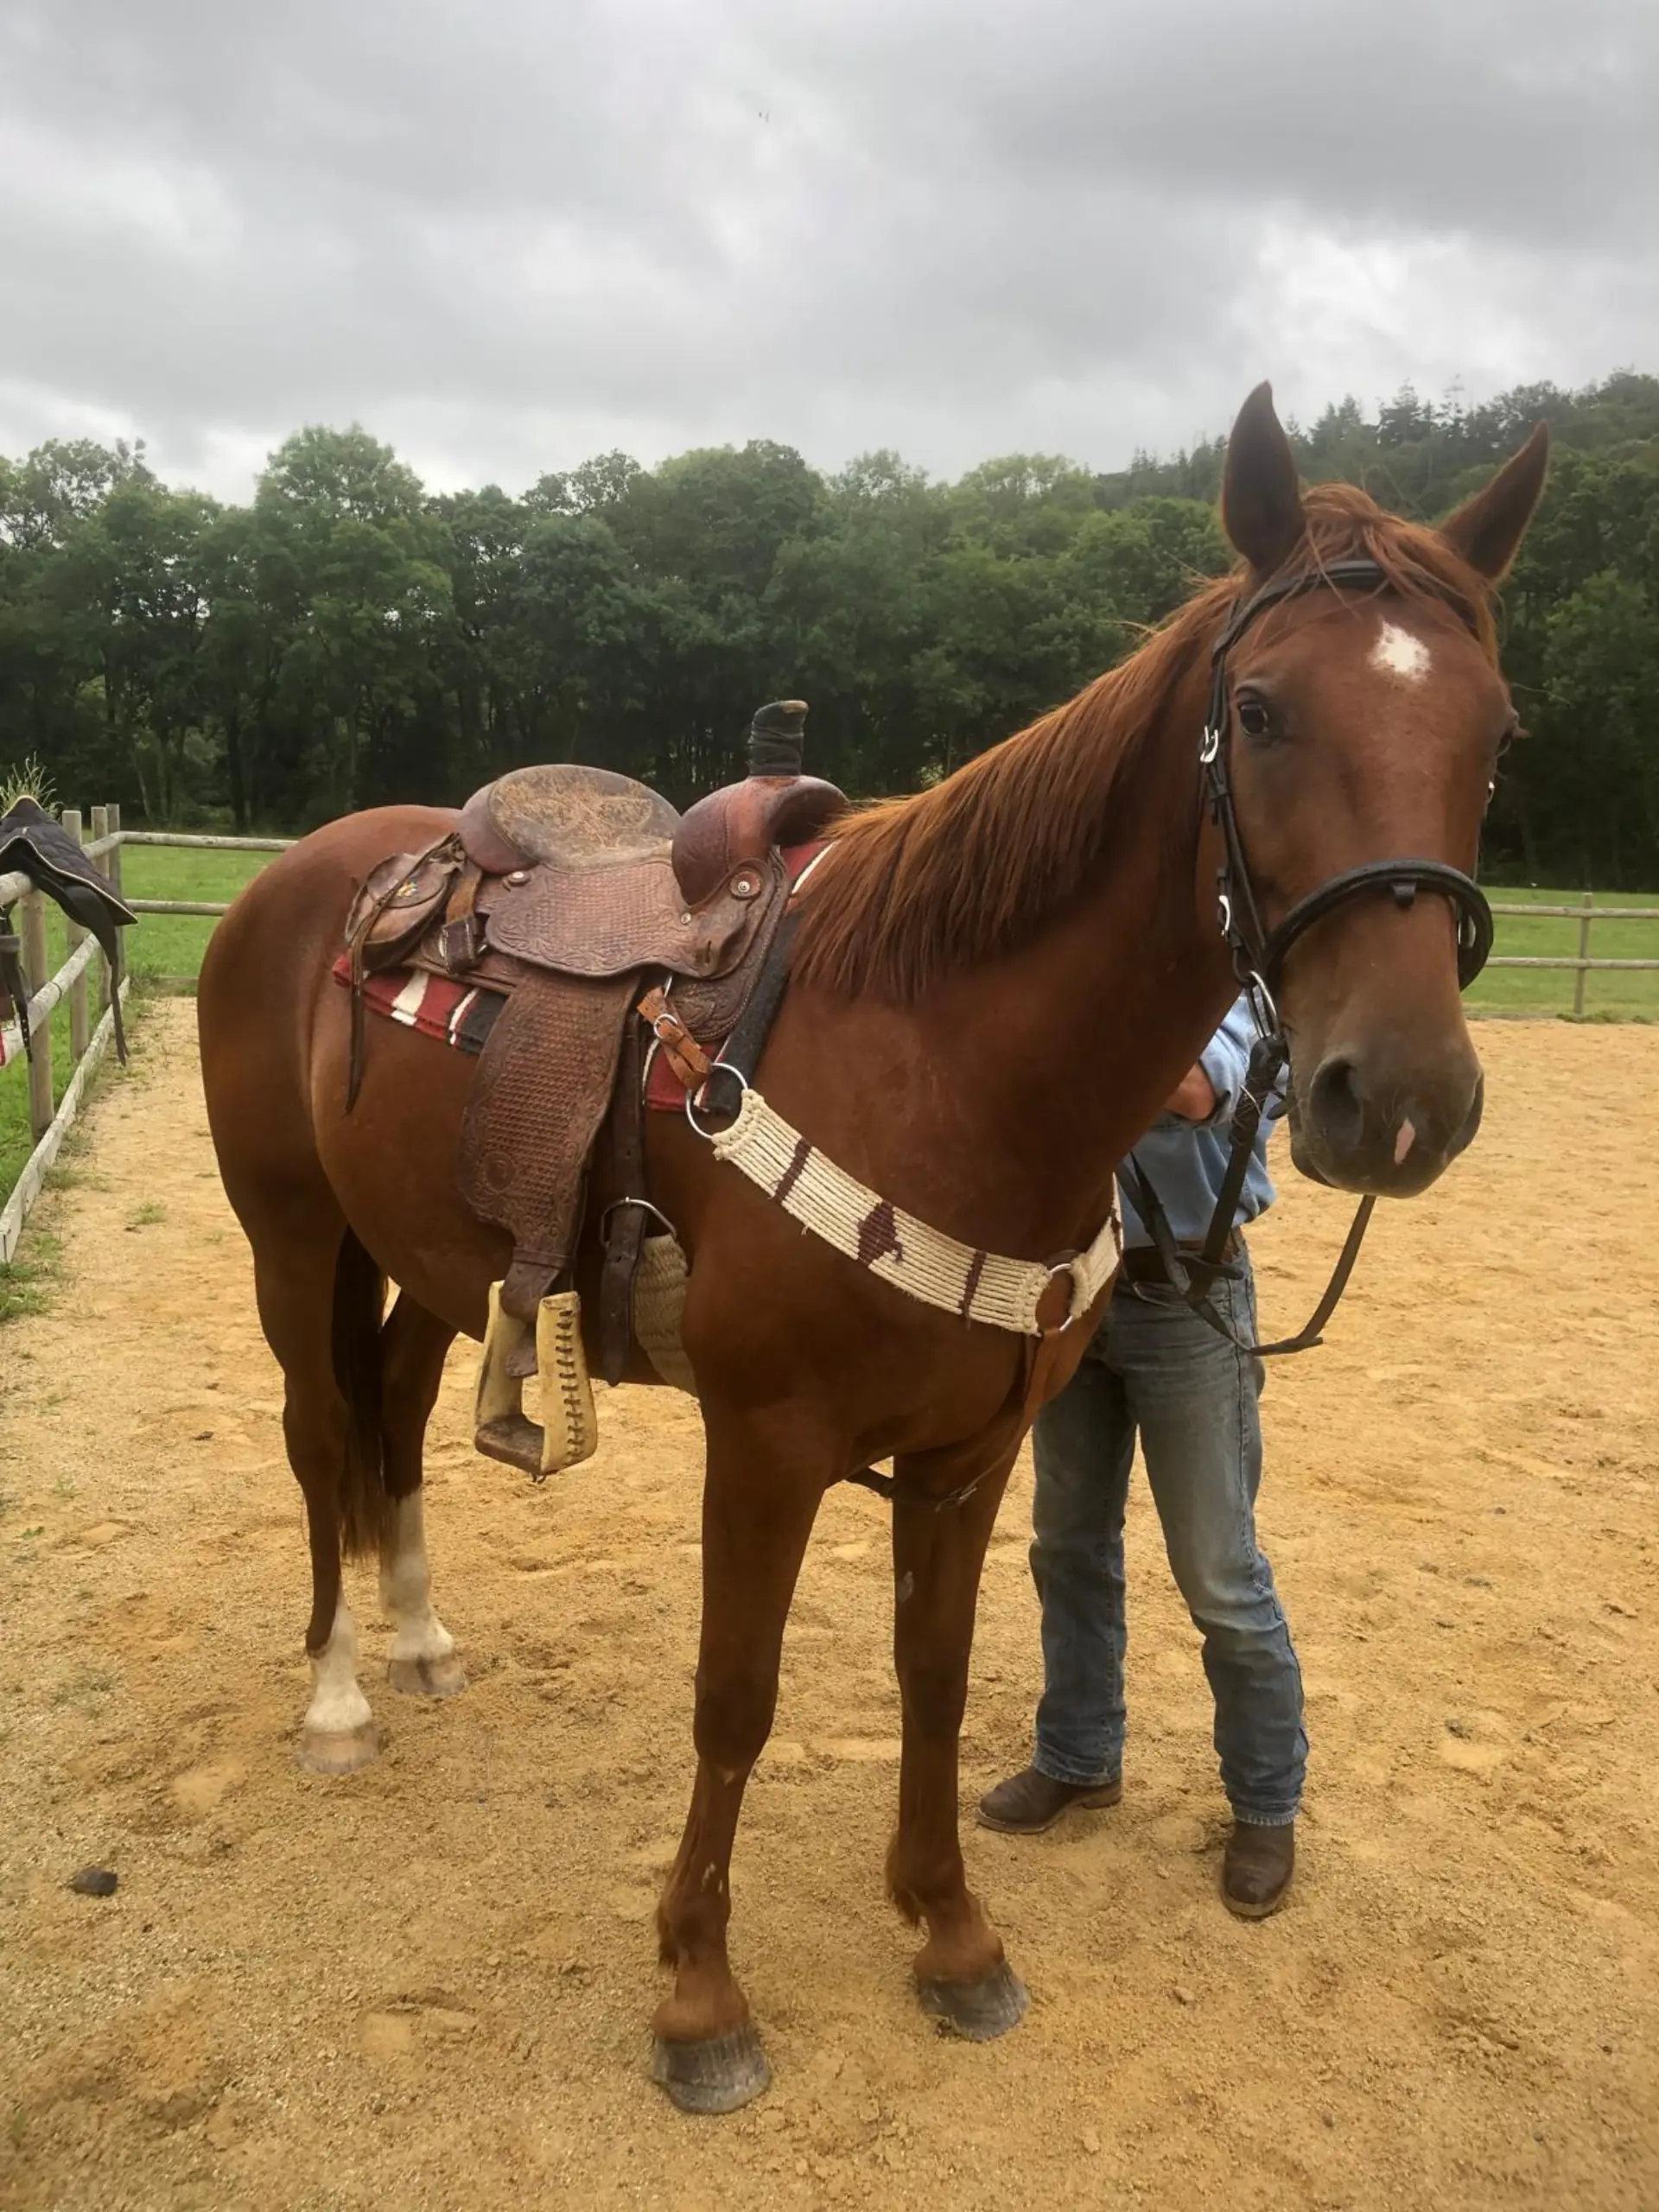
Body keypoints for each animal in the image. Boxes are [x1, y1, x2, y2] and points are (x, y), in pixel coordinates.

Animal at [196, 385, 1548, 2113]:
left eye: (1496, 737)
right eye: (1258, 710)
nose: (1403, 1099)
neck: (940, 1059)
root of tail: (317, 874)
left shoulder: (971, 1455)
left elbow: (937, 1677)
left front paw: (953, 1938)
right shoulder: (766, 1444)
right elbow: (735, 1701)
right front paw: (700, 1998)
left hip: (436, 1261)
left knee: (397, 1415)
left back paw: (422, 1636)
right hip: (292, 1241)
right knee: (318, 1437)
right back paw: (338, 1700)